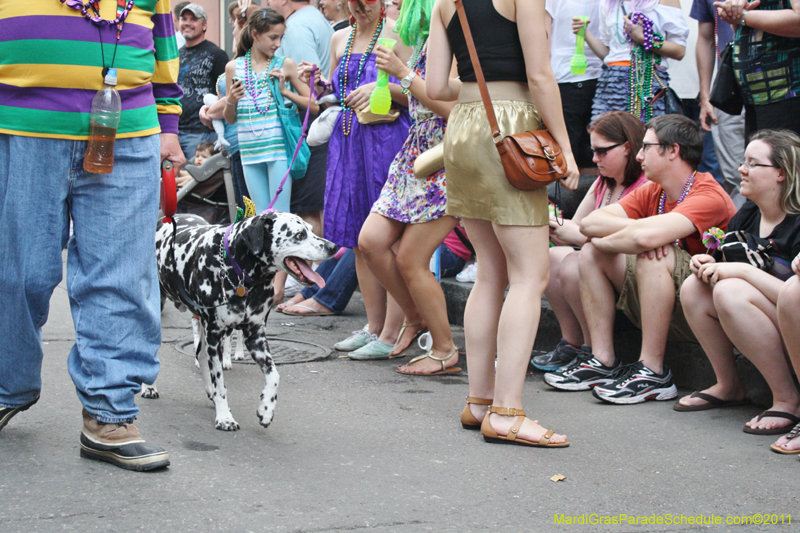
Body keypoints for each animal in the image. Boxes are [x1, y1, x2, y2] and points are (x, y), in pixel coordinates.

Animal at [152, 211, 336, 428]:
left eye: (311, 229)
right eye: (299, 235)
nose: (333, 247)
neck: (236, 269)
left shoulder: (255, 335)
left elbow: (274, 375)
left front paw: (266, 409)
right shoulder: (215, 336)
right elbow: (220, 382)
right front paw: (224, 417)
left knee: (201, 355)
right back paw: (149, 388)